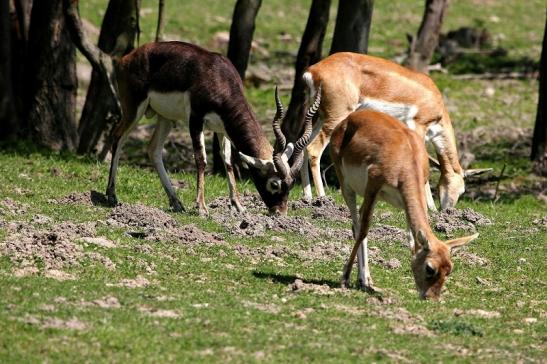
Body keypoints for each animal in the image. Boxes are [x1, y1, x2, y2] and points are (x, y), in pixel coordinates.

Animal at [107, 41, 322, 215]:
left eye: (291, 185)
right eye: (274, 184)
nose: (280, 213)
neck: (220, 78)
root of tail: (126, 59)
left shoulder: (222, 127)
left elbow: (227, 161)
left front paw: (238, 206)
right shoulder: (195, 120)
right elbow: (201, 160)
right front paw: (202, 207)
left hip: (165, 118)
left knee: (153, 149)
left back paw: (176, 203)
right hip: (134, 109)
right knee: (117, 137)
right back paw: (111, 196)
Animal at [302, 51, 486, 210]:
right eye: (462, 189)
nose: (447, 210)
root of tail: (313, 70)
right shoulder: (418, 127)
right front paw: (431, 208)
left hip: (319, 116)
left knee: (303, 144)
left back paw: (307, 198)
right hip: (335, 117)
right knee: (313, 149)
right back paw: (323, 199)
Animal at [330, 109, 480, 300]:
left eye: (449, 270)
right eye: (430, 268)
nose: (431, 298)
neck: (406, 158)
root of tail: (349, 118)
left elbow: (411, 238)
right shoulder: (373, 185)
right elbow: (364, 230)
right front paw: (344, 277)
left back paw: (365, 280)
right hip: (346, 184)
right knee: (357, 226)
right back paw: (358, 278)